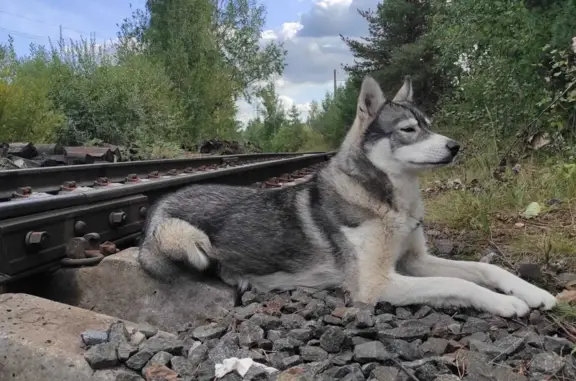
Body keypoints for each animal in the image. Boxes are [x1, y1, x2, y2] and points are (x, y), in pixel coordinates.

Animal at [137, 75, 556, 316]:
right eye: (408, 129)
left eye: (430, 126)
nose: (456, 146)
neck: (388, 202)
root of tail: (156, 208)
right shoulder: (377, 283)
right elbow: (460, 285)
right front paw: (508, 303)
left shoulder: (415, 261)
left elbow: (487, 269)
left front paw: (532, 292)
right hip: (188, 239)